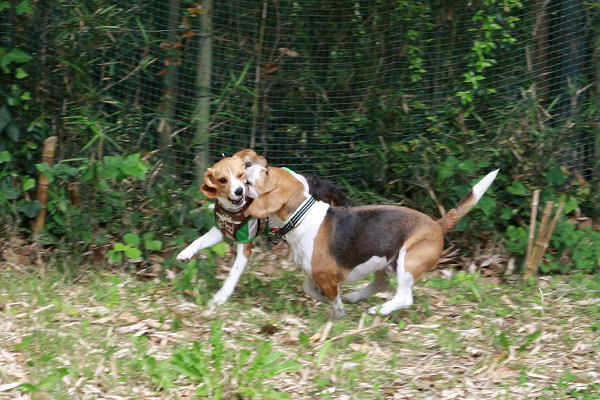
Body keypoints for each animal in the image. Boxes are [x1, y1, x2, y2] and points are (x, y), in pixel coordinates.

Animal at [244, 165, 496, 316]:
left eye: (266, 172)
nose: (247, 165)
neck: (301, 215)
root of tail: (437, 224)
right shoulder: (315, 273)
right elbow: (311, 288)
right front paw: (326, 300)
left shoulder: (325, 275)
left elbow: (333, 299)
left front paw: (337, 314)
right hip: (385, 261)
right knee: (381, 285)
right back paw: (356, 296)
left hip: (407, 262)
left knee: (404, 297)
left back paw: (380, 310)